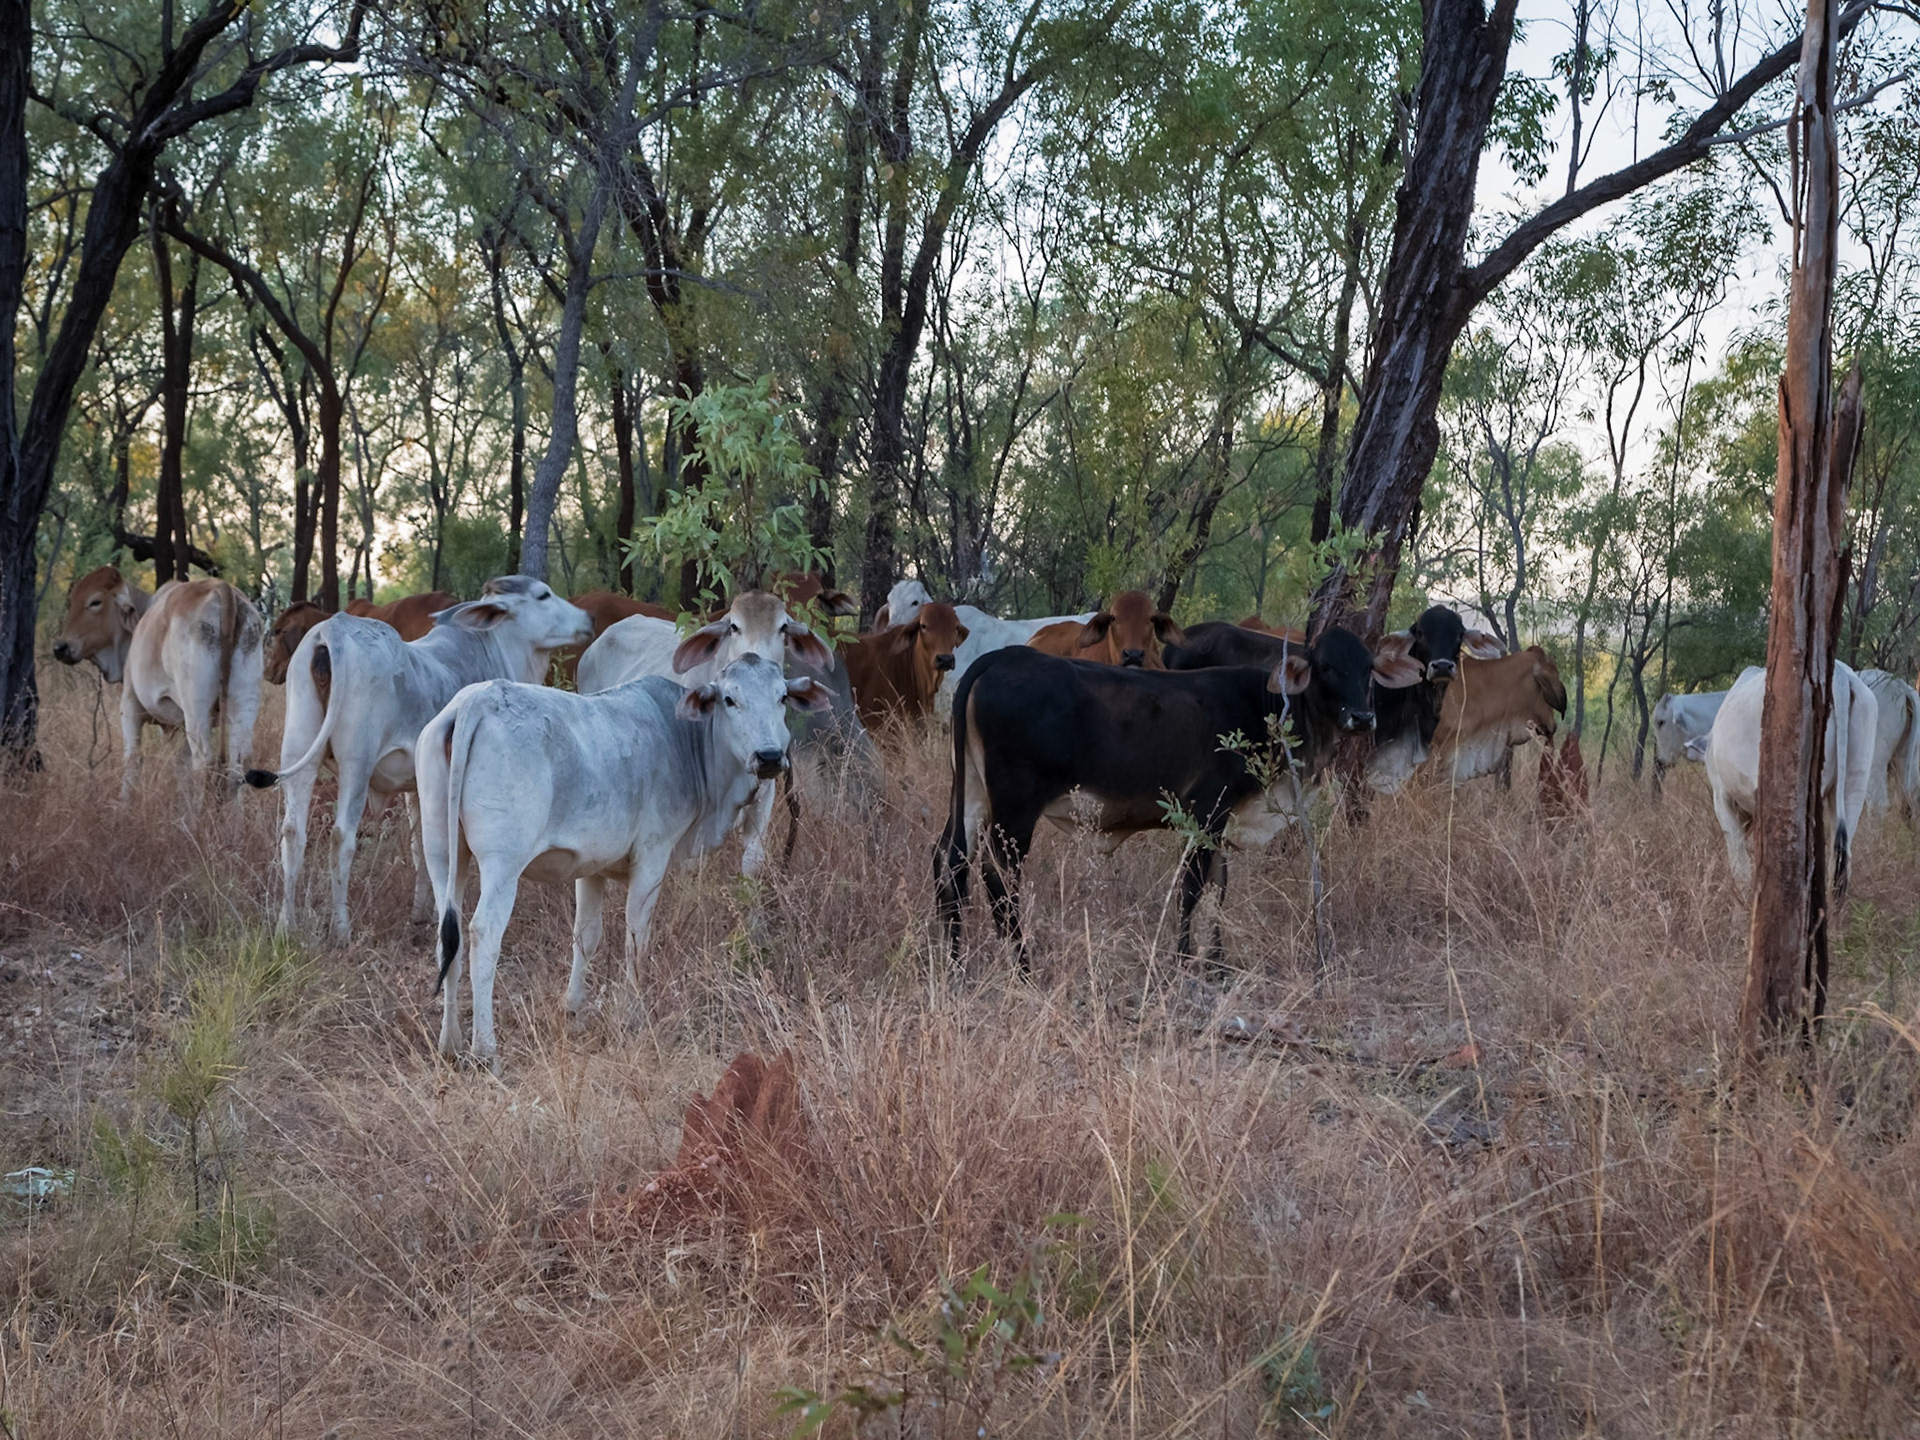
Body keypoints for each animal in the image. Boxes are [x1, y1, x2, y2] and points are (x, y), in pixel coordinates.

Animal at [53, 566, 264, 798]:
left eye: (95, 602)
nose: (60, 647)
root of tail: (222, 588)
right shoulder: (181, 724)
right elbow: (181, 769)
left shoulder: (130, 704)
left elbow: (133, 760)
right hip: (243, 702)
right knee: (239, 764)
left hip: (196, 707)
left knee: (203, 762)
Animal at [244, 576, 594, 942]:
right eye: (543, 595)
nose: (587, 619)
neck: (493, 646)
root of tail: (332, 630)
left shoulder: (416, 787)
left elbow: (420, 848)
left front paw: (420, 913)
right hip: (357, 764)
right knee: (342, 837)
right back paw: (341, 929)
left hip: (299, 749)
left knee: (292, 831)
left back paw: (286, 924)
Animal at [419, 656, 831, 1068]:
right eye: (730, 699)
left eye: (781, 697)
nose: (770, 757)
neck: (688, 739)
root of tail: (477, 699)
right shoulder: (653, 854)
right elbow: (637, 937)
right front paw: (632, 1014)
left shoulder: (590, 866)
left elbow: (585, 937)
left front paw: (574, 1011)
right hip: (502, 864)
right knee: (483, 934)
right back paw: (484, 1049)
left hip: (442, 852)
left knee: (448, 937)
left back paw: (449, 1042)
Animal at [934, 629, 1424, 968]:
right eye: (1326, 667)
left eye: (1368, 668)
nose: (1362, 716)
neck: (1272, 708)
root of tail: (999, 658)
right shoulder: (1206, 812)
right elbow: (1192, 889)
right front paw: (1185, 959)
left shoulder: (1224, 821)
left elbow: (1219, 889)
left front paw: (1218, 963)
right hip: (1015, 808)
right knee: (998, 876)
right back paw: (1022, 965)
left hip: (971, 794)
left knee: (949, 861)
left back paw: (954, 962)